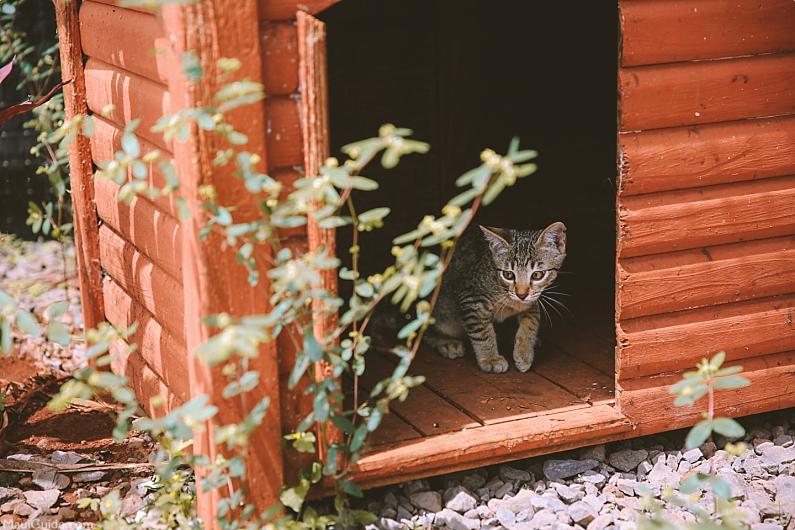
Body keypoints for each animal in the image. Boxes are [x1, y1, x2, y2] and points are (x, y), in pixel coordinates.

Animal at [426, 221, 568, 370]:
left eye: (537, 275)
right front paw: (491, 358)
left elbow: (531, 321)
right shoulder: (471, 299)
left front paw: (524, 352)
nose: (521, 294)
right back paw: (446, 342)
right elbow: (482, 332)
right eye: (508, 274)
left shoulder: (532, 301)